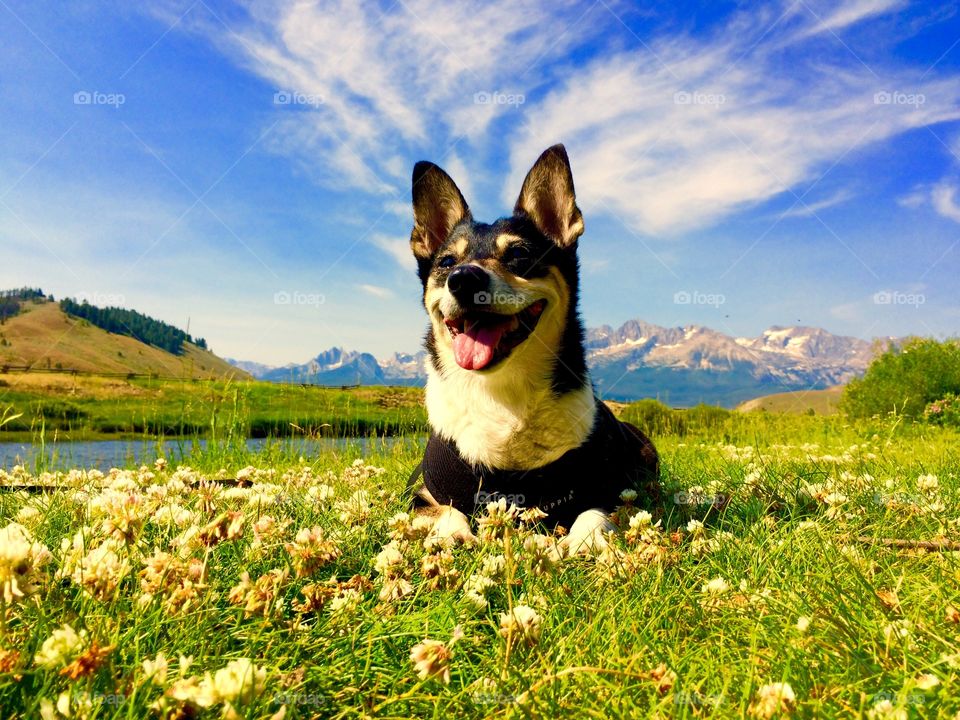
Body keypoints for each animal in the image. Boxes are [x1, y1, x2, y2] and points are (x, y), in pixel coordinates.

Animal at [404, 145, 660, 552]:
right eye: (447, 262)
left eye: (520, 255)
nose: (464, 279)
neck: (502, 393)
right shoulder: (423, 494)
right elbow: (447, 508)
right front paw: (450, 534)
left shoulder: (609, 488)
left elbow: (594, 512)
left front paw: (585, 539)